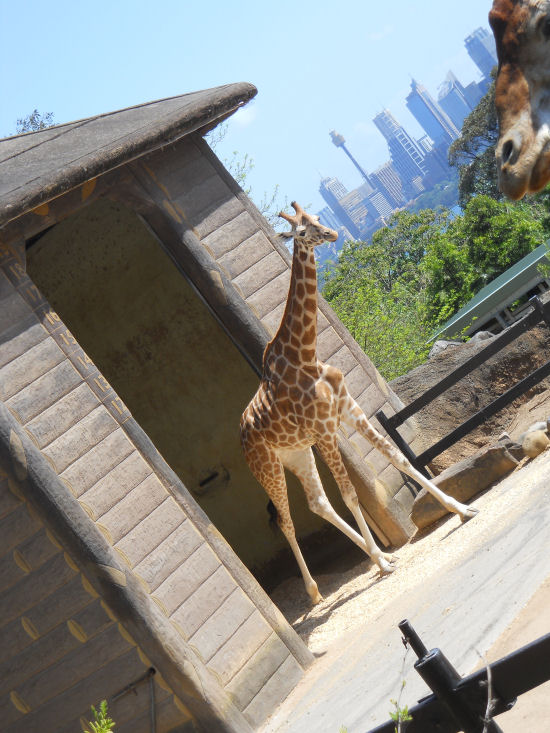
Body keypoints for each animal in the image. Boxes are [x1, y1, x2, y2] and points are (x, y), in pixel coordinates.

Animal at [240, 202, 478, 604]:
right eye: (300, 233)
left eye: (316, 220)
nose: (332, 235)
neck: (305, 356)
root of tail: (241, 435)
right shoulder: (325, 431)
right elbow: (351, 495)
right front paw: (383, 567)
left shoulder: (349, 412)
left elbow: (399, 458)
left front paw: (461, 508)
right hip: (267, 467)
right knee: (287, 520)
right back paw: (318, 591)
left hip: (296, 454)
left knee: (317, 502)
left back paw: (378, 554)